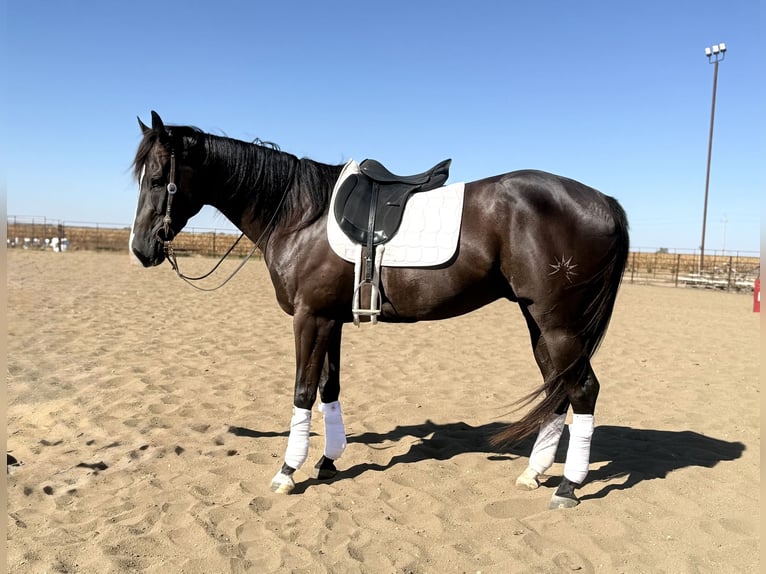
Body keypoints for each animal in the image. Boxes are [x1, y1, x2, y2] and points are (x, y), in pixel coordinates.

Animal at [130, 111, 629, 509]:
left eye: (156, 179)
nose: (141, 249)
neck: (300, 215)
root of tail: (605, 201)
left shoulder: (310, 318)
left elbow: (302, 392)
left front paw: (288, 471)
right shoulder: (330, 318)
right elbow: (328, 388)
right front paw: (328, 460)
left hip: (558, 323)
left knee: (583, 390)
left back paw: (567, 486)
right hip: (538, 320)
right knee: (558, 389)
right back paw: (534, 472)